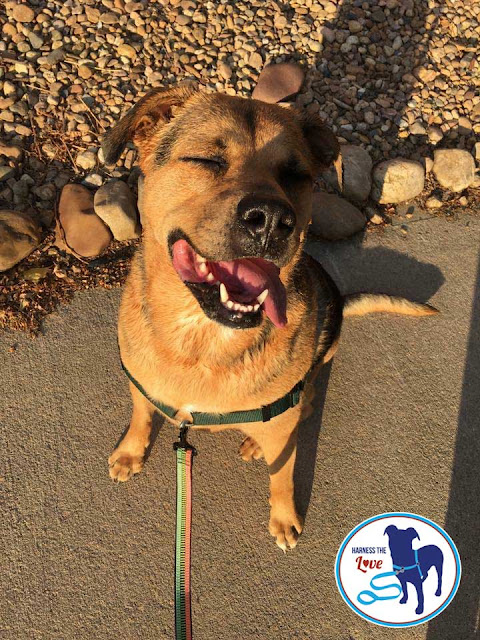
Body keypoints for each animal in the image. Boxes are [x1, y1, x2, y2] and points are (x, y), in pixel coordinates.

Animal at [102, 85, 438, 552]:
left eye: (295, 174)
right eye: (206, 160)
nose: (272, 221)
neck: (203, 343)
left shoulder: (281, 429)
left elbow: (283, 474)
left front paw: (284, 517)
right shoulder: (141, 383)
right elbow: (141, 414)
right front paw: (131, 452)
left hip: (320, 355)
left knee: (308, 398)